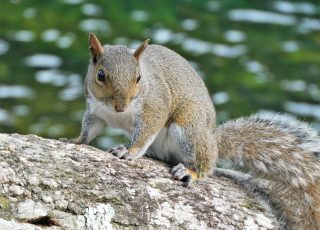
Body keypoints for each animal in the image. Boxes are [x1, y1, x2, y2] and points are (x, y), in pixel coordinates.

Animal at [68, 33, 320, 229]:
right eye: (100, 75)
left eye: (138, 77)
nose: (121, 107)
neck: (116, 112)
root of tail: (213, 142)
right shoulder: (95, 110)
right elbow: (90, 129)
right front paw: (76, 140)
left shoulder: (155, 105)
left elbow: (146, 130)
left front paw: (129, 151)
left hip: (188, 130)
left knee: (206, 166)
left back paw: (191, 172)